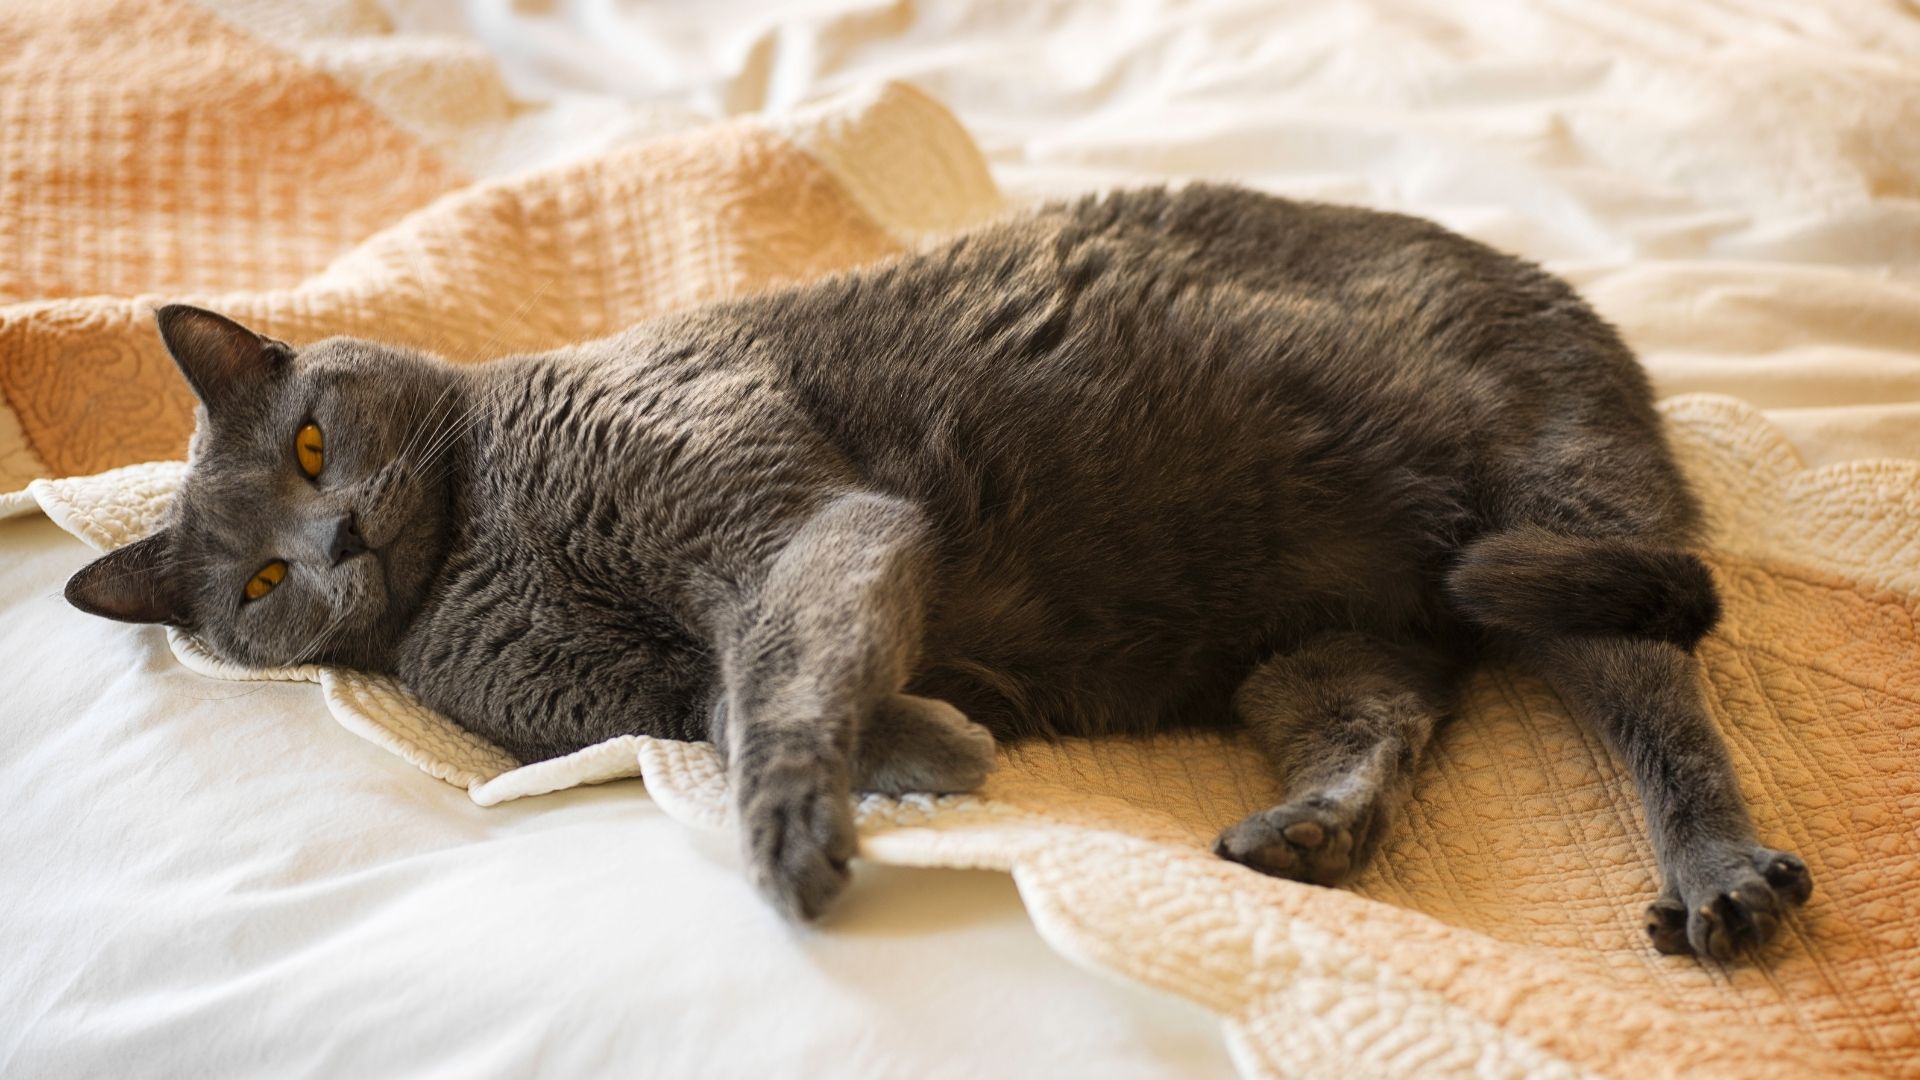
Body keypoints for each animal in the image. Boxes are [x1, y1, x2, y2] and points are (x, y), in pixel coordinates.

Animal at [67, 184, 1804, 957]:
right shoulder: (620, 687)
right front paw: (936, 740)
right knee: (1384, 711)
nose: (335, 544)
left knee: (1665, 711)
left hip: (1567, 494)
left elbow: (780, 671)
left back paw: (1721, 879)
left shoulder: (783, 523)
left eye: (308, 445)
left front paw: (806, 825)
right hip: (1319, 646)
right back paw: (1311, 830)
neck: (484, 543)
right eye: (255, 594)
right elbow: (736, 695)